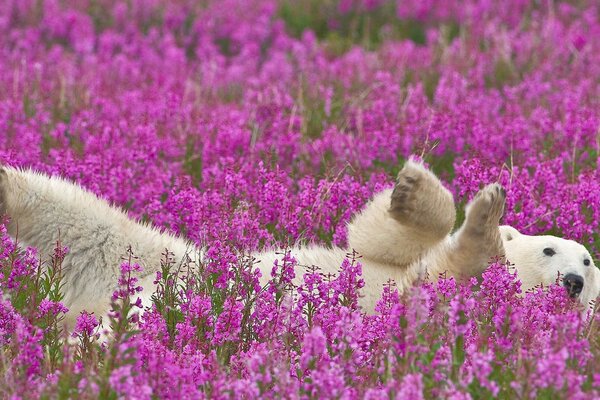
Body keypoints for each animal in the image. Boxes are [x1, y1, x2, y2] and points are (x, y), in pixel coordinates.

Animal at [0, 158, 596, 326]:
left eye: (589, 267)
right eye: (552, 249)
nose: (571, 280)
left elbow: (446, 275)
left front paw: (484, 223)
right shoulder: (380, 260)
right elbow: (374, 240)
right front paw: (417, 190)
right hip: (163, 260)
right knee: (80, 216)